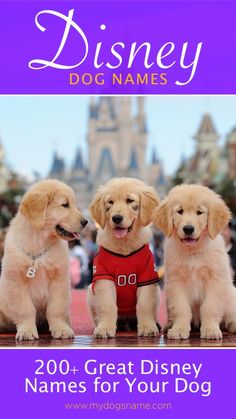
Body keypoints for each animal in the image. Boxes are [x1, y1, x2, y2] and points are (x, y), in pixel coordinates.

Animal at [0, 180, 88, 342]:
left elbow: (55, 309)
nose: (85, 222)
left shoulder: (59, 280)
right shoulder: (17, 282)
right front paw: (27, 331)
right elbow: (26, 310)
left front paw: (61, 329)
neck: (39, 243)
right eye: (65, 205)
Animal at [87, 177, 160, 338]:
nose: (116, 218)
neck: (124, 245)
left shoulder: (147, 275)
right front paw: (104, 328)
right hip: (91, 290)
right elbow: (107, 305)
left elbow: (145, 304)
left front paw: (148, 327)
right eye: (110, 202)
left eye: (129, 200)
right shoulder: (103, 276)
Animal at [153, 185, 236, 340]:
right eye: (180, 211)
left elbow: (210, 307)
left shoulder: (215, 280)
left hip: (231, 295)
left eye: (200, 212)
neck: (193, 253)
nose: (188, 229)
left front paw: (210, 330)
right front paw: (179, 329)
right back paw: (169, 325)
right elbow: (181, 308)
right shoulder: (176, 282)